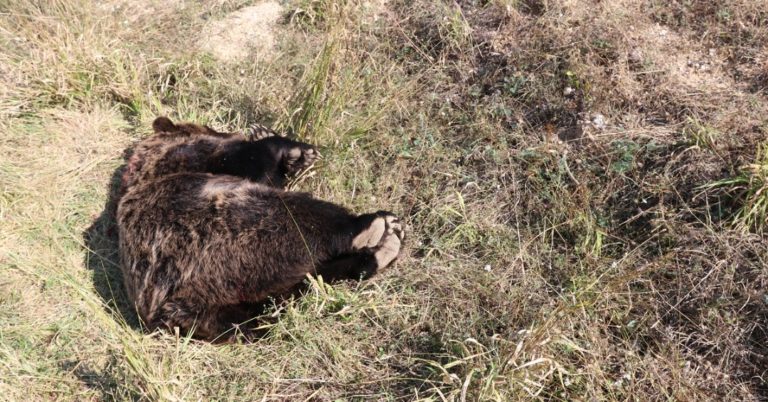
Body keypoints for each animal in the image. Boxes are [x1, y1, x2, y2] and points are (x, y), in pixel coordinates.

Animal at [115, 118, 402, 340]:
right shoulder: (199, 160)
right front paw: (289, 148)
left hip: (233, 296)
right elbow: (255, 166)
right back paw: (374, 227)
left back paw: (379, 252)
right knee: (301, 222)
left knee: (287, 294)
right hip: (222, 237)